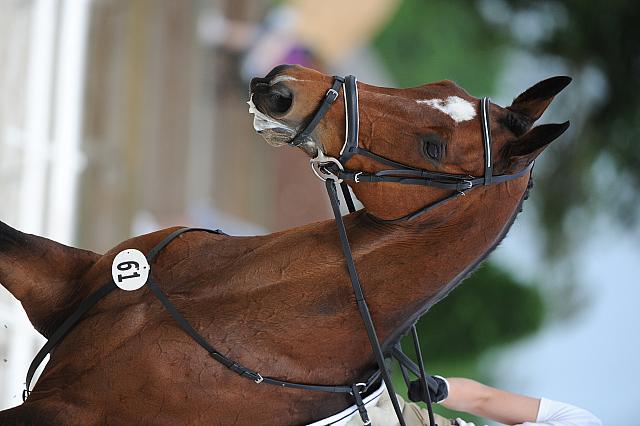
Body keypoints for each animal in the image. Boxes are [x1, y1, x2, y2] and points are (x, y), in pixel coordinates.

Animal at [0, 65, 568, 424]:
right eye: (436, 84)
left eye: (434, 147)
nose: (279, 87)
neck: (222, 301)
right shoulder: (62, 284)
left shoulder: (70, 410)